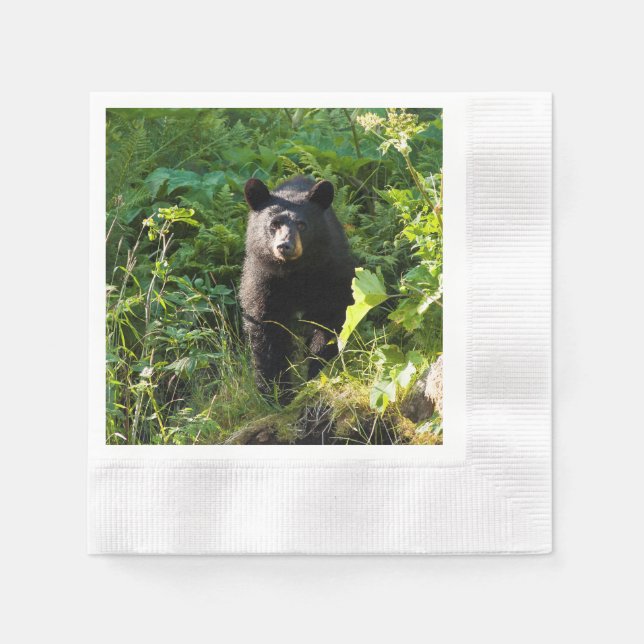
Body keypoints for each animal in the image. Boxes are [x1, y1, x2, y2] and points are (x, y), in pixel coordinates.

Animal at [239, 176, 355, 402]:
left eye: (302, 224)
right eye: (274, 224)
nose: (285, 246)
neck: (295, 273)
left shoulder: (330, 272)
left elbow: (331, 318)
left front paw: (317, 371)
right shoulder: (263, 281)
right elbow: (267, 329)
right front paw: (276, 392)